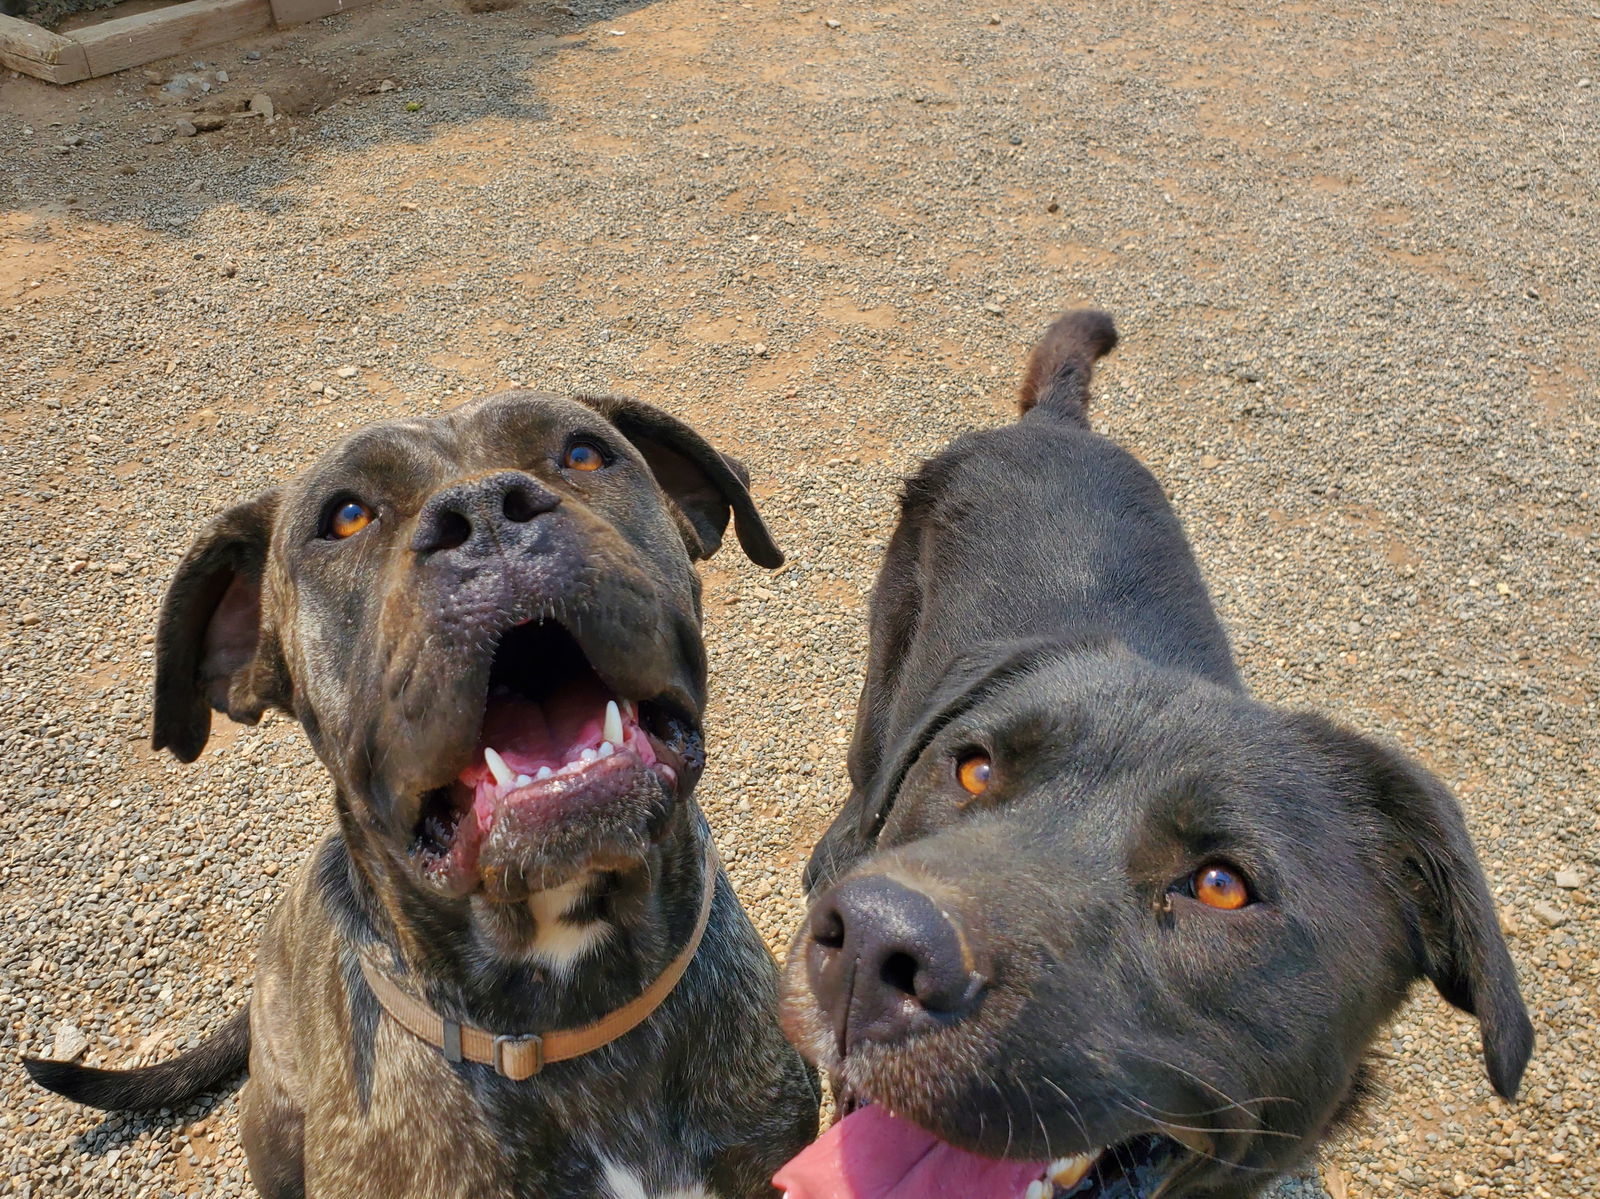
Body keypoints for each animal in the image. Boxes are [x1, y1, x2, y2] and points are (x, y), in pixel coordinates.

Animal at [774, 310, 1536, 1197]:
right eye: (975, 767)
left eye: (1222, 885)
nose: (869, 942)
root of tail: (1057, 425)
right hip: (887, 660)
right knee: (867, 771)